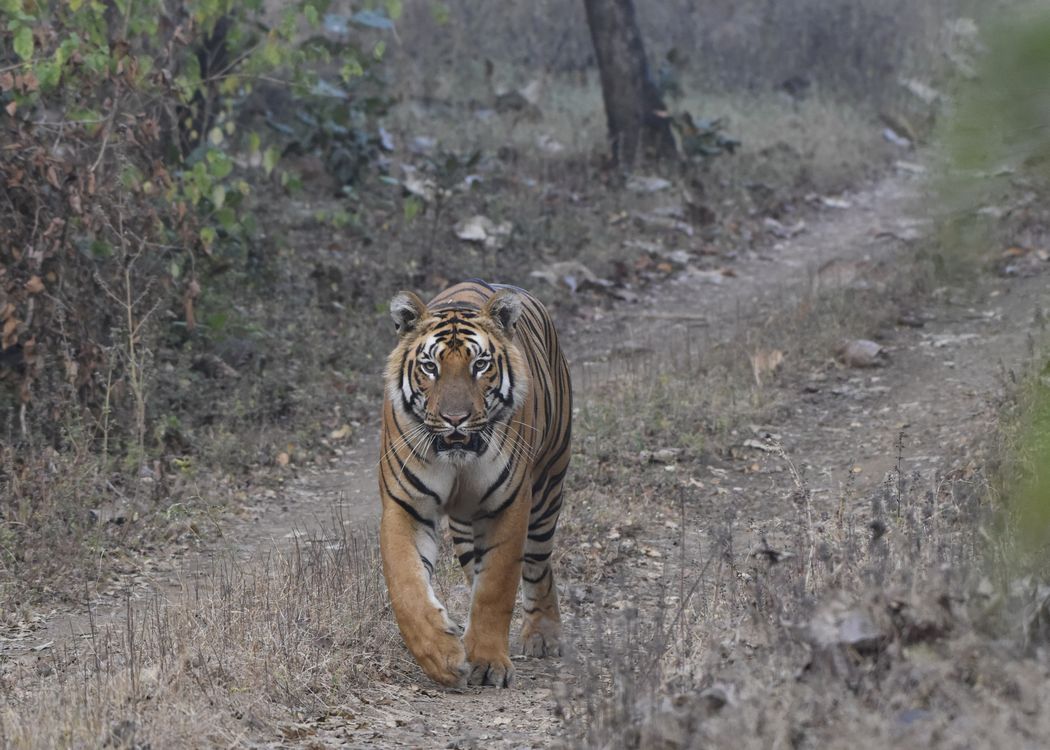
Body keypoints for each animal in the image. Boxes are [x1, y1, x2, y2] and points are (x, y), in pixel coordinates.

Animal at [380, 279, 575, 684]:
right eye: (430, 366)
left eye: (480, 365)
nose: (455, 419)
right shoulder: (404, 506)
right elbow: (406, 587)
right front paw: (441, 656)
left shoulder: (509, 506)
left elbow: (496, 588)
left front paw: (486, 662)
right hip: (467, 526)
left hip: (548, 489)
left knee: (538, 565)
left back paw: (543, 635)